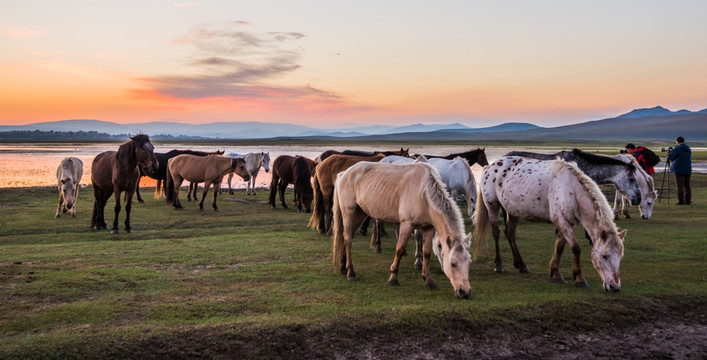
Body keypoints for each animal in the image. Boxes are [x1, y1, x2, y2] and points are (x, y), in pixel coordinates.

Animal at [330, 160, 472, 298]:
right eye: (453, 263)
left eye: (469, 262)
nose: (465, 292)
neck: (423, 193)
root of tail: (344, 173)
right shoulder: (406, 224)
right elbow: (400, 249)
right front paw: (393, 278)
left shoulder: (429, 228)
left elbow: (426, 253)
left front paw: (429, 281)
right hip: (349, 212)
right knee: (348, 240)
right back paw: (351, 273)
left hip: (360, 213)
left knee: (345, 238)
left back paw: (343, 267)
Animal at [472, 156, 628, 292]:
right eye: (605, 256)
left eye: (620, 256)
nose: (615, 287)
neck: (571, 189)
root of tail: (489, 166)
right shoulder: (561, 220)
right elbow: (575, 248)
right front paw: (579, 278)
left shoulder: (567, 223)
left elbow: (560, 246)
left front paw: (555, 273)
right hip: (492, 206)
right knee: (496, 233)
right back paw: (498, 265)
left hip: (513, 210)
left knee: (510, 234)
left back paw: (521, 265)